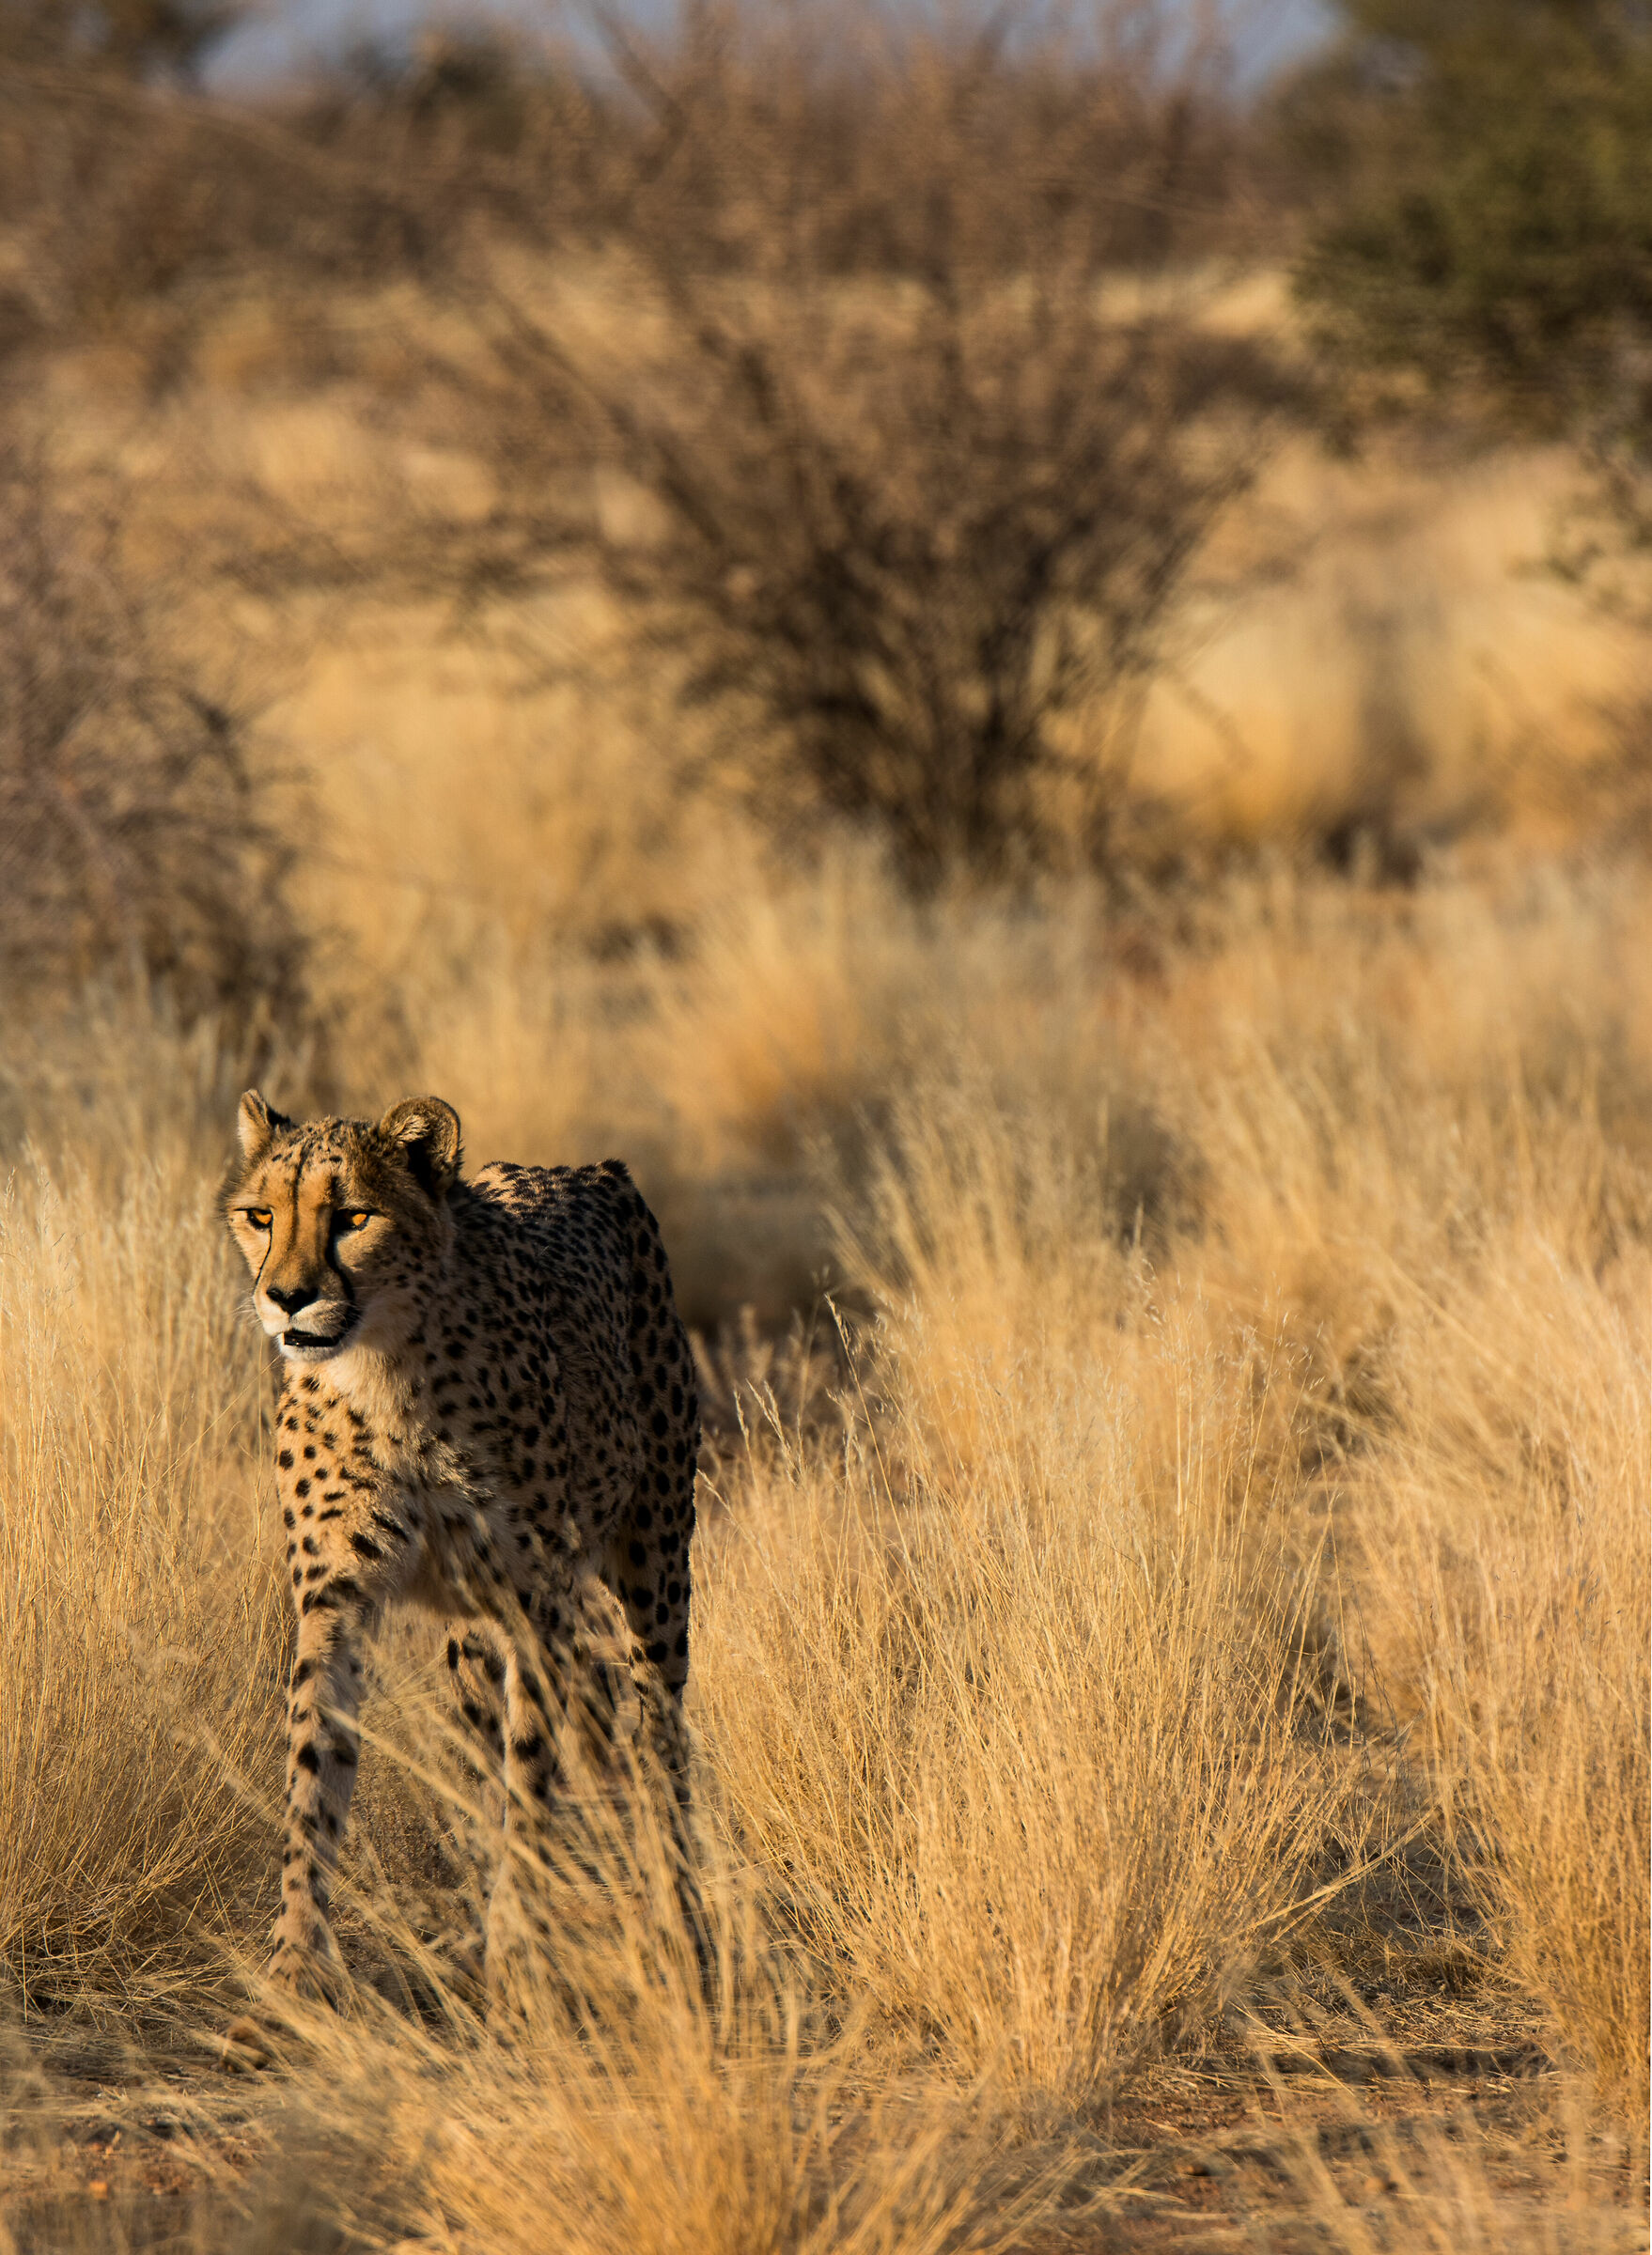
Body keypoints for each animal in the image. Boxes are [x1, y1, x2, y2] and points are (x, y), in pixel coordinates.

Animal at [220, 1089, 700, 2057]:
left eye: (352, 1217)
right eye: (261, 1216)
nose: (287, 1298)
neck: (386, 1364)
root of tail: (587, 1169)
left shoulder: (534, 1604)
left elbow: (531, 1785)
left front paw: (521, 1973)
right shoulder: (335, 1601)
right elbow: (312, 1782)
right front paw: (293, 1977)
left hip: (653, 1565)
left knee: (657, 1741)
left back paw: (679, 1929)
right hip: (472, 1639)